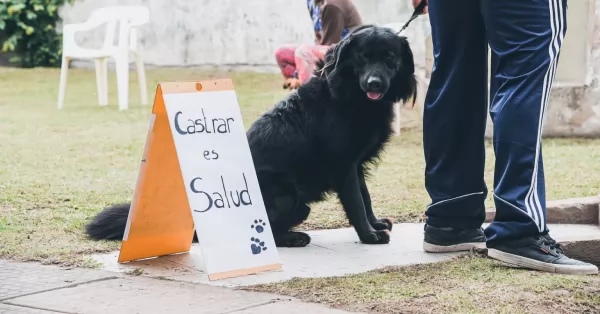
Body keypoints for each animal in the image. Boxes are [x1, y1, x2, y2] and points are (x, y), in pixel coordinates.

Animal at [85, 25, 418, 248]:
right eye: (362, 58)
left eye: (390, 57)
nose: (375, 82)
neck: (350, 95)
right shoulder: (343, 166)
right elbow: (356, 202)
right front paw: (369, 235)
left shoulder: (355, 165)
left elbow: (365, 197)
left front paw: (374, 224)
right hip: (289, 195)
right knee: (264, 231)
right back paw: (293, 238)